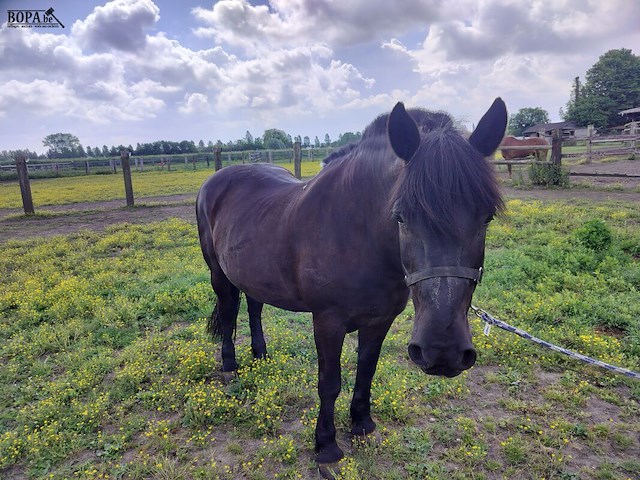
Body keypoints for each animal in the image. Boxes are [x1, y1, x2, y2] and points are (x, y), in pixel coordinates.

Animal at [196, 98, 507, 465]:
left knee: (254, 306)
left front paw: (361, 422)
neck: (358, 234)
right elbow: (329, 382)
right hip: (218, 273)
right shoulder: (327, 322)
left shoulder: (380, 320)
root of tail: (215, 179)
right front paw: (326, 445)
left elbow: (366, 369)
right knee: (230, 310)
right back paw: (230, 366)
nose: (443, 351)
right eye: (400, 216)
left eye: (487, 217)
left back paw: (260, 355)